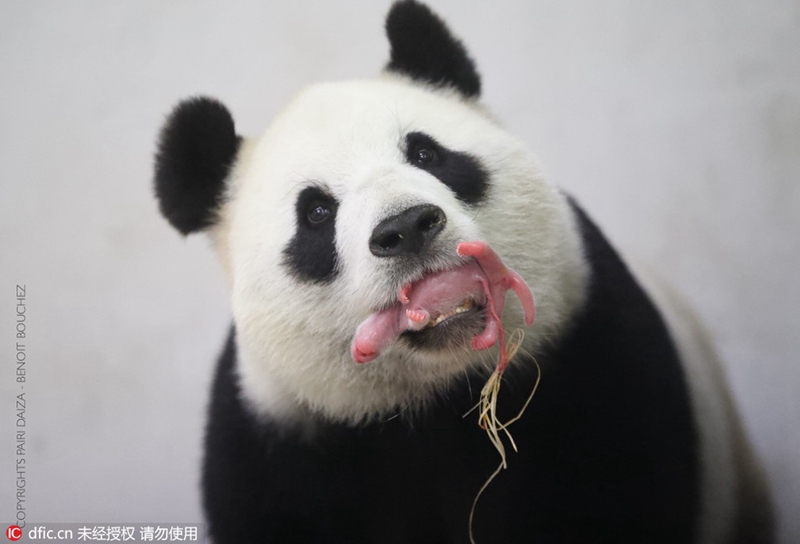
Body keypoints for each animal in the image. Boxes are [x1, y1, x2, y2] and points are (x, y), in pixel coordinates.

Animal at [153, 2, 773, 543]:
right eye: (316, 213)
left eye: (426, 154)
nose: (406, 227)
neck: (437, 397)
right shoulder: (280, 437)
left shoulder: (590, 353)